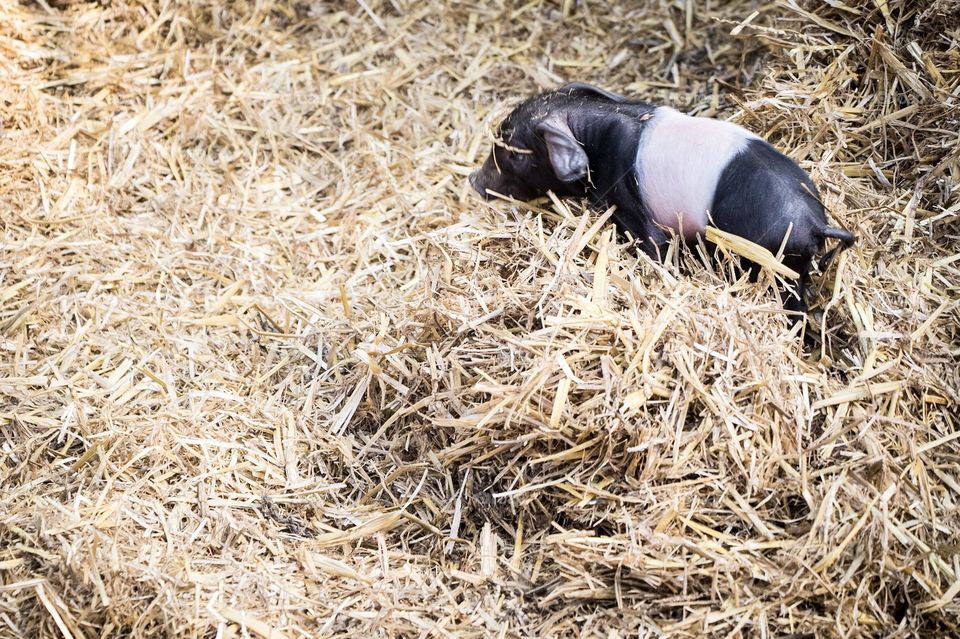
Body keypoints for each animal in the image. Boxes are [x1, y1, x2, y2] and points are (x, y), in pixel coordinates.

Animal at [469, 82, 855, 314]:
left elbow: (655, 246)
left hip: (774, 265)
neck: (595, 137)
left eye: (515, 155)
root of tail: (815, 223)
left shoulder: (634, 209)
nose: (473, 180)